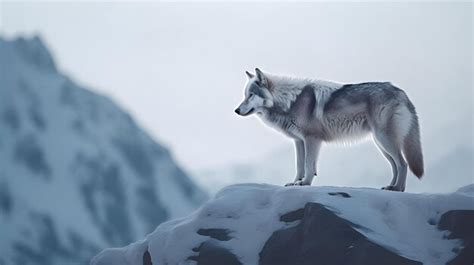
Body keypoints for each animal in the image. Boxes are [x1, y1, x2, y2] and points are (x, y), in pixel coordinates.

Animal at [235, 68, 424, 191]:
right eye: (245, 95)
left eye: (251, 95)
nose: (236, 110)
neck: (290, 101)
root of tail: (400, 91)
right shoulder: (299, 141)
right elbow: (299, 165)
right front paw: (295, 182)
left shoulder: (312, 139)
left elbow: (308, 164)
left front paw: (305, 183)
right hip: (381, 144)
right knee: (395, 166)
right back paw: (391, 186)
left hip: (385, 140)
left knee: (403, 164)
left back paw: (398, 188)